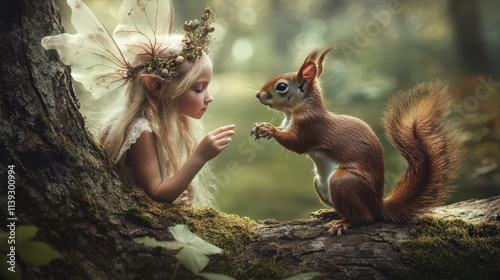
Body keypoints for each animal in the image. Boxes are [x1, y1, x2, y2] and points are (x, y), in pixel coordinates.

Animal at [252, 47, 462, 235]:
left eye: (281, 86)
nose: (257, 94)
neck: (294, 111)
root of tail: (376, 205)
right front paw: (261, 127)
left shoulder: (310, 126)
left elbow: (297, 144)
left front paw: (268, 129)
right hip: (320, 183)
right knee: (345, 210)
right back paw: (328, 213)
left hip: (344, 182)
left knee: (363, 217)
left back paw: (343, 223)